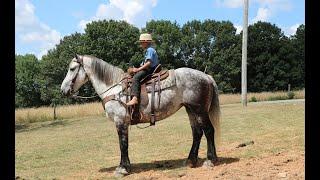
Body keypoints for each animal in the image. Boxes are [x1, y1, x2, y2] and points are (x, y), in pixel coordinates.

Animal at [60, 54, 220, 176]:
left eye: (72, 69)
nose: (63, 90)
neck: (114, 89)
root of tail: (206, 77)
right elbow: (124, 144)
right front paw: (126, 166)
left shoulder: (120, 121)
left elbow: (123, 144)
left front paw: (122, 168)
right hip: (190, 110)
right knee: (197, 133)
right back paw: (190, 161)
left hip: (200, 110)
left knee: (209, 130)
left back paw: (210, 160)